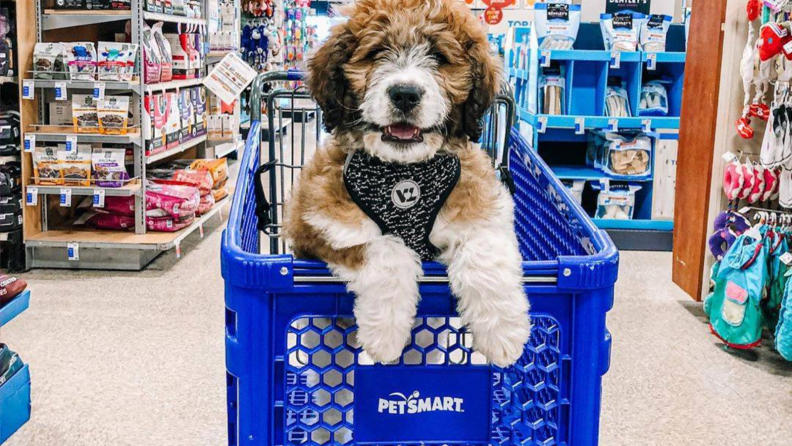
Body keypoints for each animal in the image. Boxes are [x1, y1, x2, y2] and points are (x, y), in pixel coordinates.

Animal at [282, 0, 528, 368]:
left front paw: (503, 334)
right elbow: (385, 248)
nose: (405, 94)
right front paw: (385, 335)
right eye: (376, 53)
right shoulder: (314, 225)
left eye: (439, 56)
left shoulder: (480, 205)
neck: (403, 172)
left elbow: (484, 250)